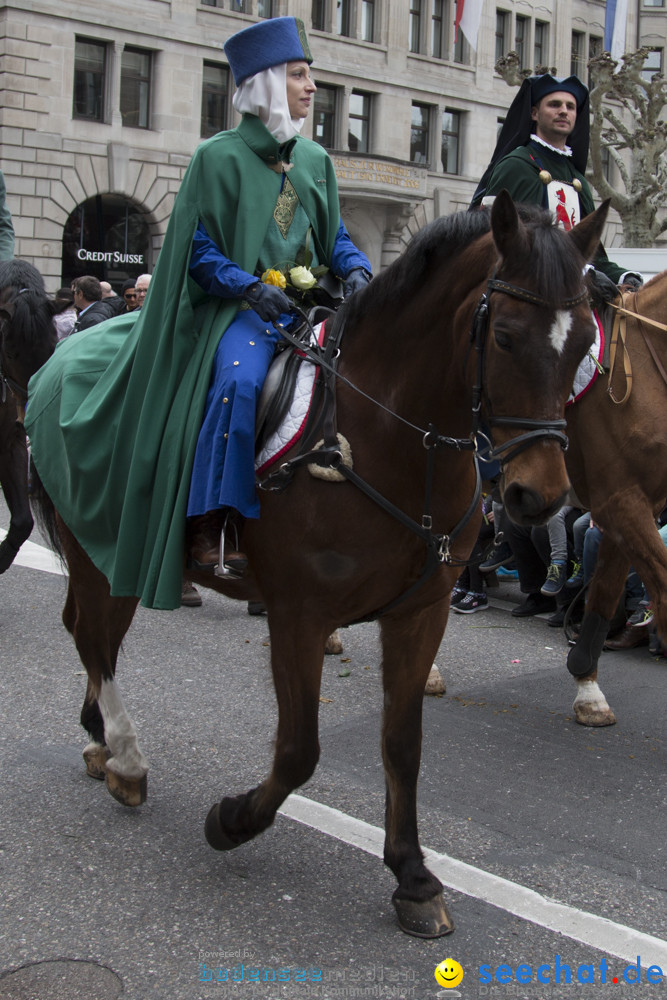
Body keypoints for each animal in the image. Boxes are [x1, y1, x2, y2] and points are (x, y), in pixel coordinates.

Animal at [28, 193, 608, 936]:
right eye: (504, 336)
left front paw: (413, 876)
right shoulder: (298, 616)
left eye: (585, 344)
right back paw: (127, 758)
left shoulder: (420, 615)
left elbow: (402, 744)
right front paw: (232, 820)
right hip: (103, 545)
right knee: (95, 639)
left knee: (89, 634)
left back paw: (102, 741)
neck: (386, 438)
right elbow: (299, 749)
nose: (539, 496)